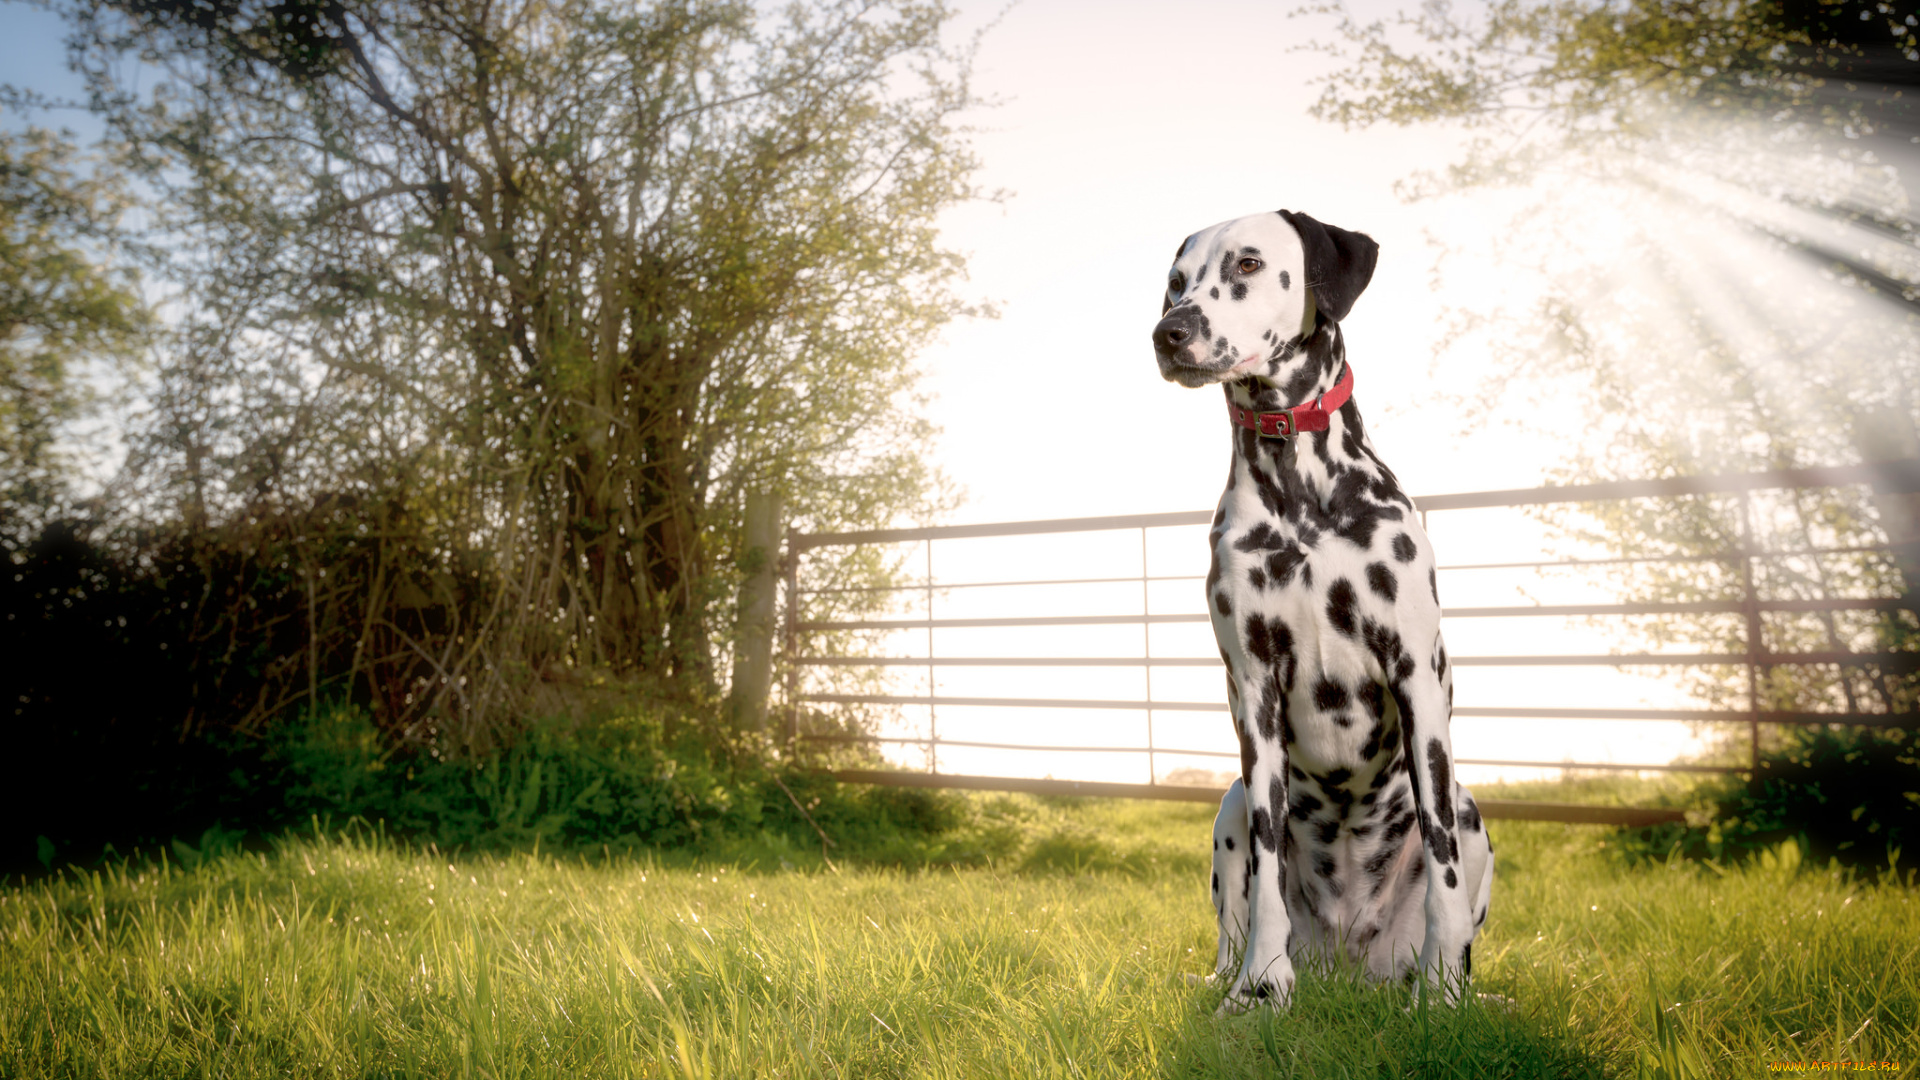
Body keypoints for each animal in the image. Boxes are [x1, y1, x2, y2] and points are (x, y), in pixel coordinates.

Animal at [1144, 212, 1489, 1006]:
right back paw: (1231, 979)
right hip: (1229, 805)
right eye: (1176, 282)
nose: (1170, 331)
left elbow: (1442, 862)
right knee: (1234, 912)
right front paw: (1263, 988)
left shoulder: (1416, 683)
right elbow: (1268, 862)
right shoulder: (1255, 692)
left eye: (1246, 264)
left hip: (1473, 810)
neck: (1303, 495)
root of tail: (1348, 960)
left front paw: (1441, 994)